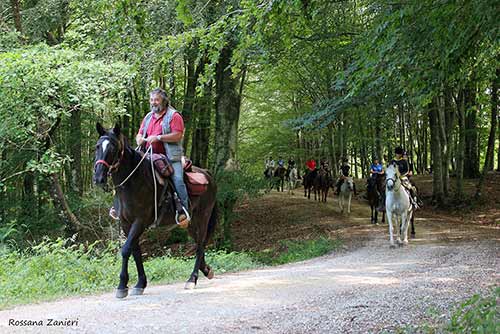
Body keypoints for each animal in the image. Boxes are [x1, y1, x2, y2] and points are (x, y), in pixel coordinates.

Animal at [94, 124, 219, 298]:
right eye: (97, 147)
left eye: (113, 148)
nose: (99, 178)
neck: (134, 182)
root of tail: (208, 175)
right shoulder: (126, 223)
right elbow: (136, 251)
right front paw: (140, 284)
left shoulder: (140, 221)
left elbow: (126, 250)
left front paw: (122, 286)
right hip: (190, 222)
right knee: (198, 244)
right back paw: (206, 270)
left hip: (203, 217)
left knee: (200, 244)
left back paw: (192, 279)